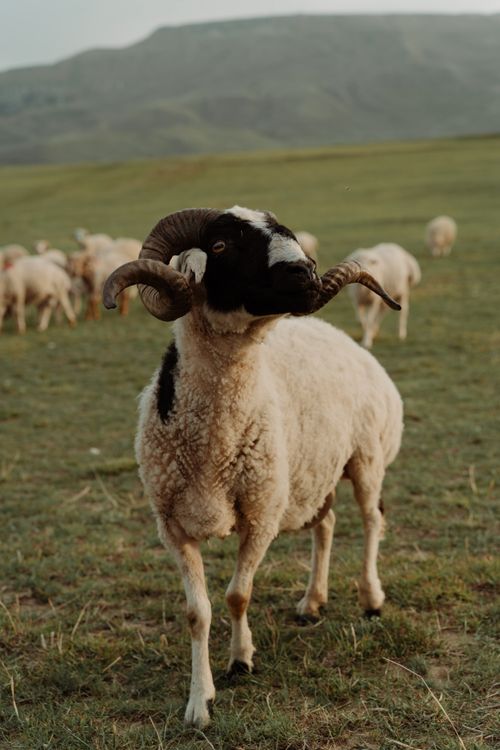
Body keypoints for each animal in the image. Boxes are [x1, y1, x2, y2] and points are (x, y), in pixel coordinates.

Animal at [103, 206, 404, 728]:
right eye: (221, 245)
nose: (307, 275)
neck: (213, 445)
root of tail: (342, 337)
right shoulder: (172, 526)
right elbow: (197, 612)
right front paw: (199, 703)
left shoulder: (261, 515)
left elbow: (236, 596)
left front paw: (240, 660)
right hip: (313, 471)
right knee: (326, 525)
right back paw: (311, 602)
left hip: (366, 458)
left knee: (371, 519)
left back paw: (371, 599)